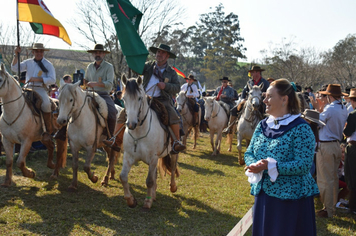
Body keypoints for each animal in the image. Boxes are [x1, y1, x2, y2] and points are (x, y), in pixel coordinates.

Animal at [121, 75, 179, 208]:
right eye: (124, 98)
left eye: (139, 98)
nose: (131, 124)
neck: (139, 132)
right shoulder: (128, 156)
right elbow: (123, 177)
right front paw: (130, 200)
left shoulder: (153, 158)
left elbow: (149, 181)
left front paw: (147, 202)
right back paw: (153, 195)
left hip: (173, 152)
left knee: (173, 168)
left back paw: (172, 187)